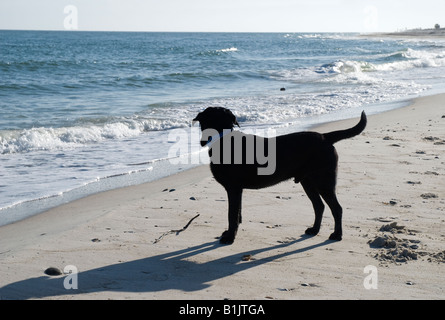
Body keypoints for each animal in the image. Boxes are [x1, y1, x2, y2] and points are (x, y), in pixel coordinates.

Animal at [193, 106, 366, 244]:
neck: (223, 140)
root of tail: (325, 137)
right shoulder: (237, 190)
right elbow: (238, 213)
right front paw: (230, 233)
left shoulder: (233, 188)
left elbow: (232, 215)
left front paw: (229, 237)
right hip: (308, 181)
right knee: (319, 206)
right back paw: (314, 229)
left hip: (324, 182)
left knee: (337, 208)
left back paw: (337, 235)